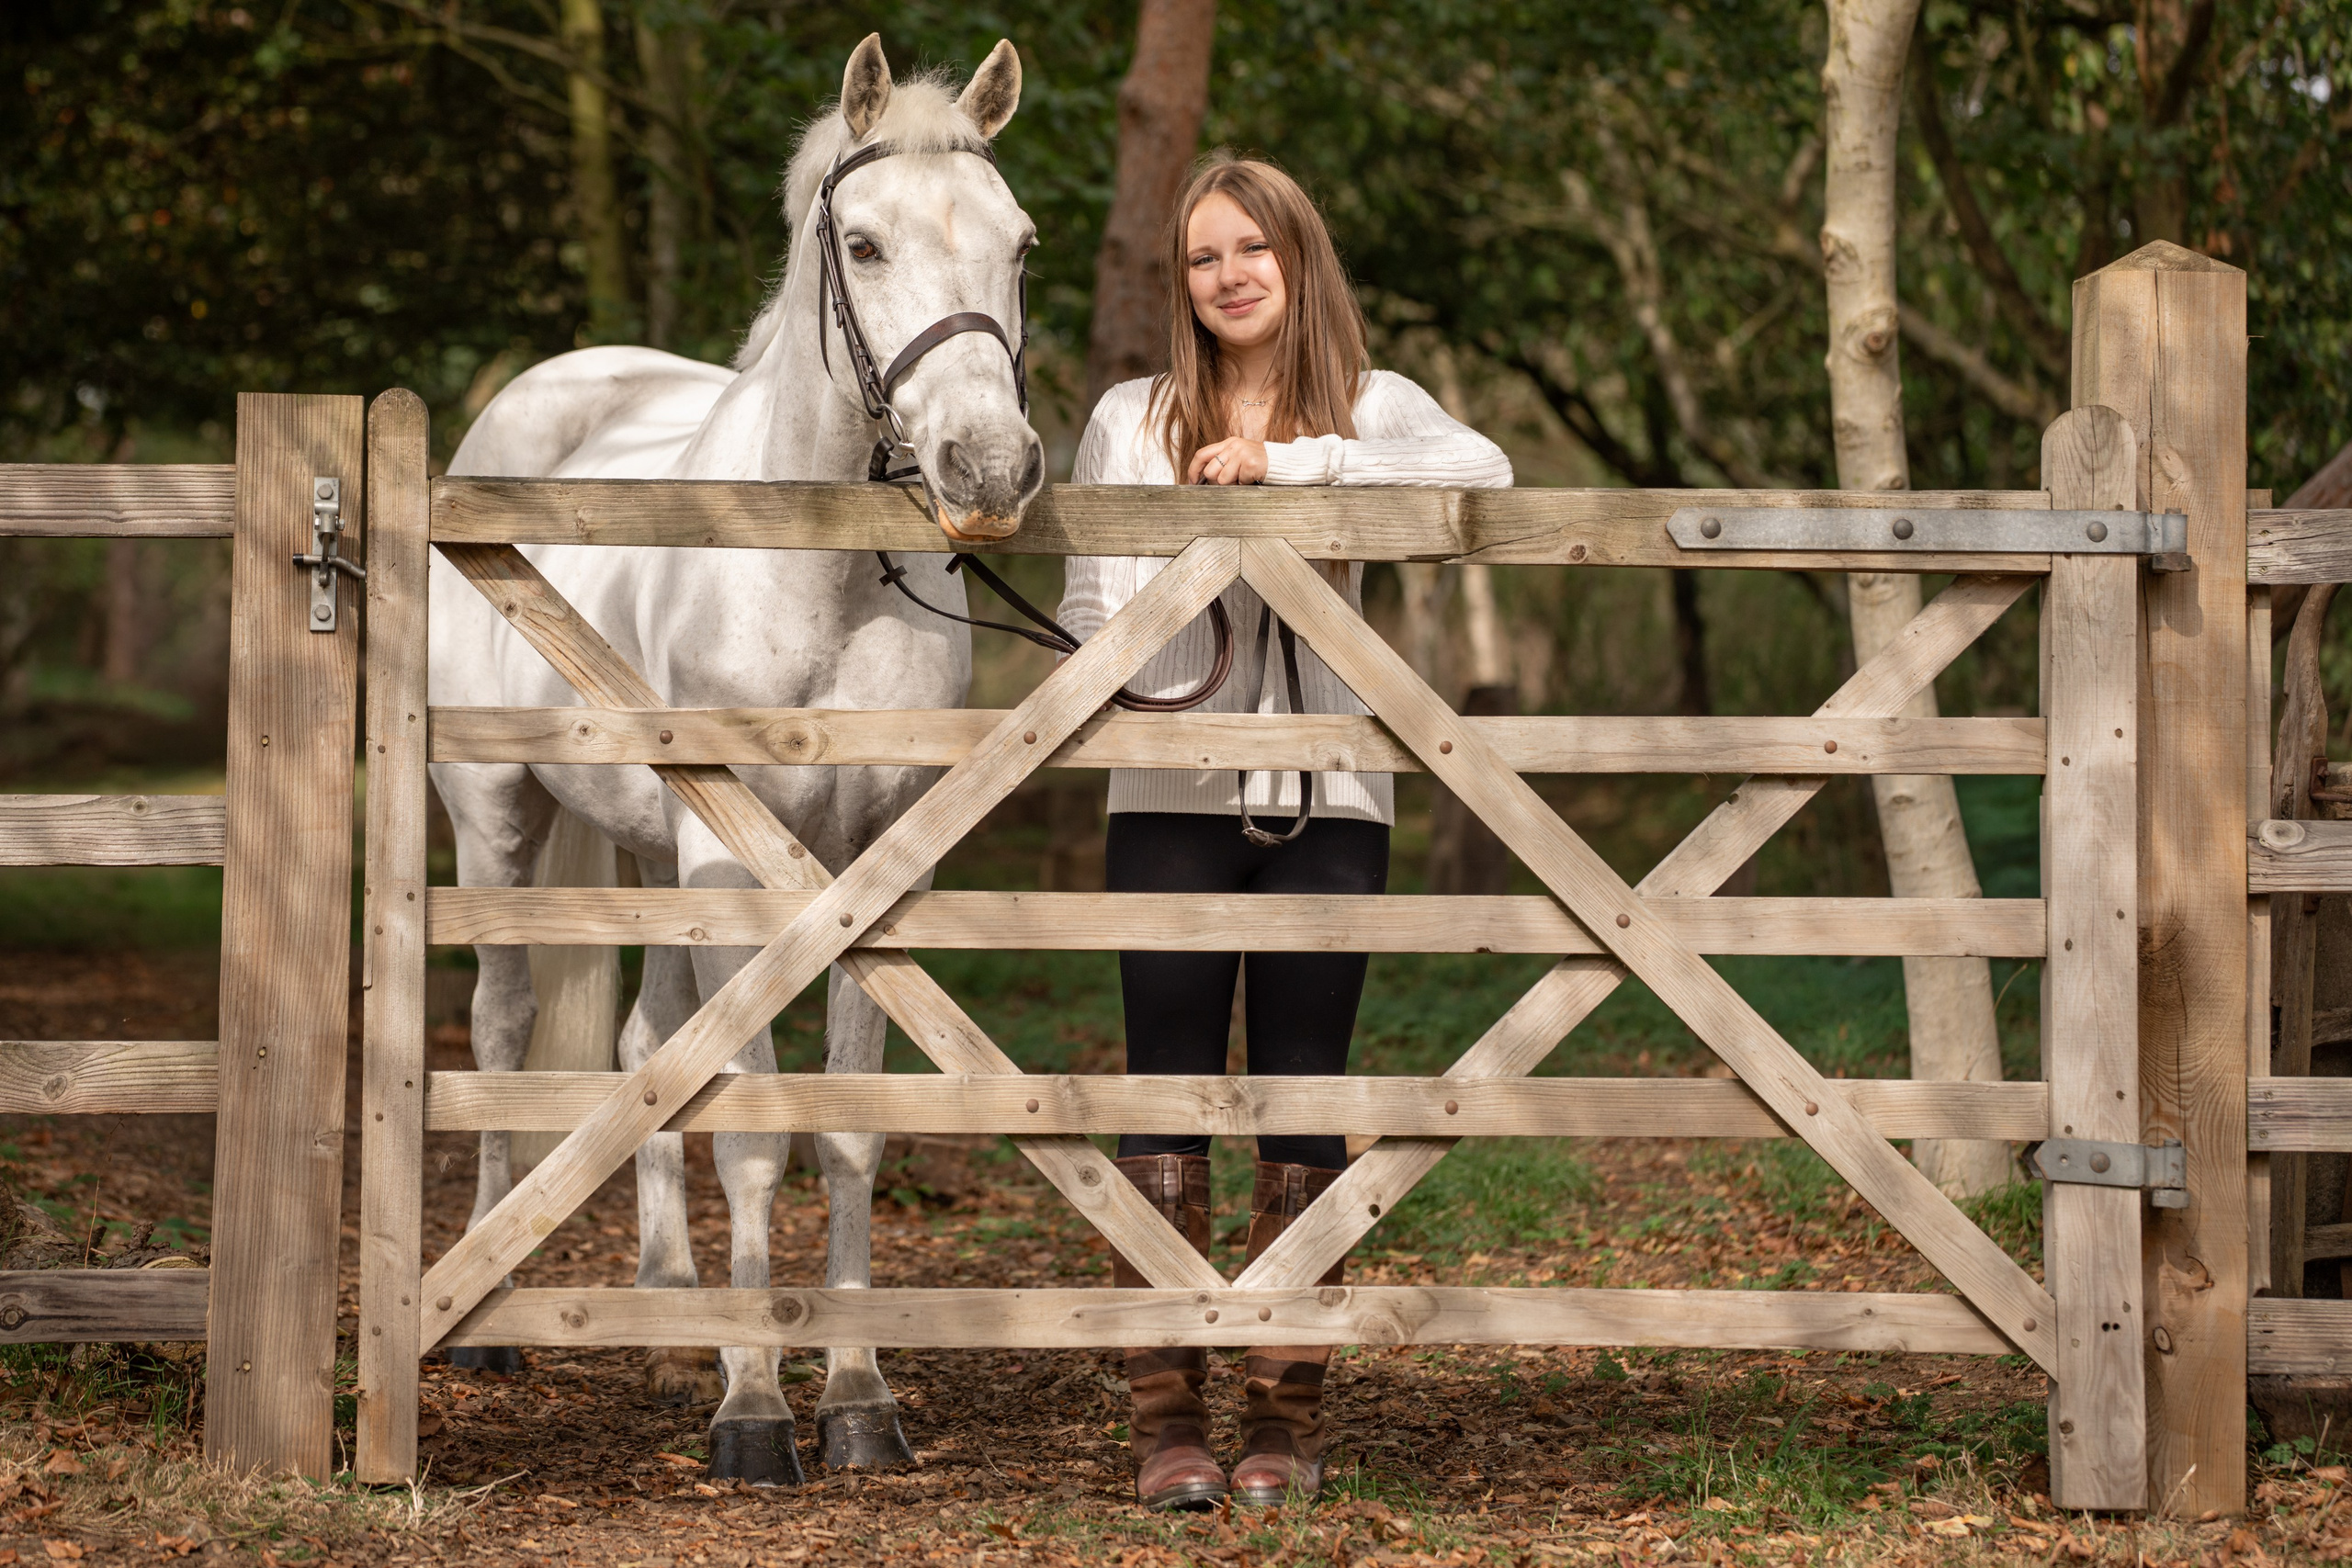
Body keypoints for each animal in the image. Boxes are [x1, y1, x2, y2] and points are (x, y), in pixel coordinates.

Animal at [427, 34, 1044, 1484]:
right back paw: (491, 1316)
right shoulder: (731, 863)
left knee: (652, 1042)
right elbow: (756, 1132)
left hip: (661, 865)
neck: (816, 574)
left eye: (1021, 245)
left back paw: (668, 1309)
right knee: (503, 1024)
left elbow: (848, 1130)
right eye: (863, 245)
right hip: (498, 820)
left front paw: (860, 1399)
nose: (990, 471)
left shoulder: (867, 875)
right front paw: (756, 1411)